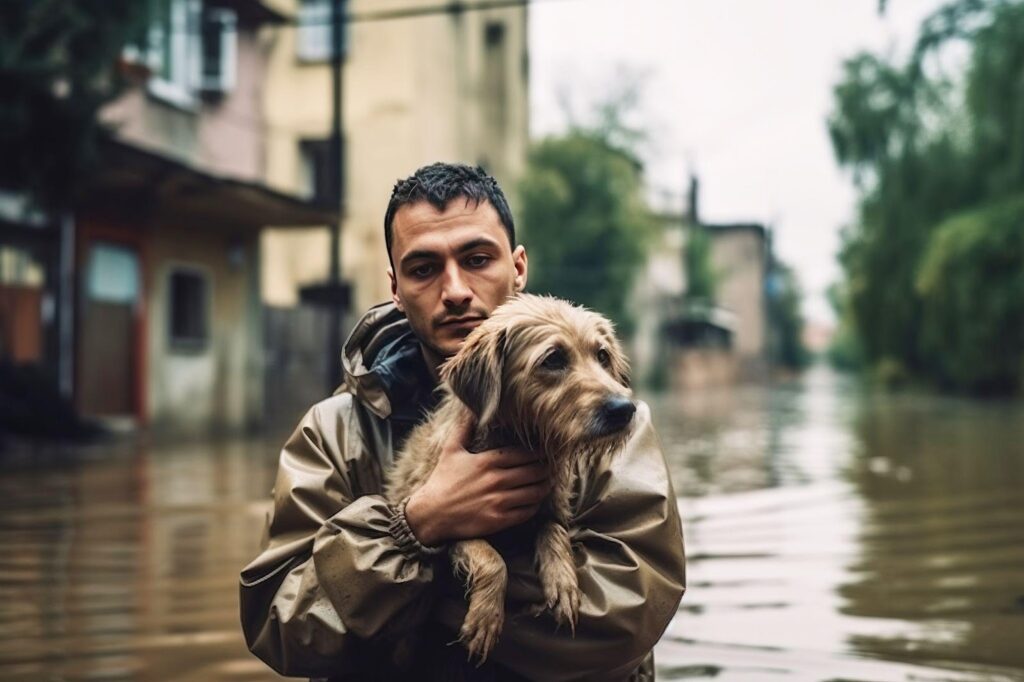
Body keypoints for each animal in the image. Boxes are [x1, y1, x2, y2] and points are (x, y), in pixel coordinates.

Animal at [385, 292, 634, 659]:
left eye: (601, 355)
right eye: (553, 359)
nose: (624, 409)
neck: (518, 441)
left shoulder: (553, 505)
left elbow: (553, 530)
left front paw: (563, 581)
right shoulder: (446, 518)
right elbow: (493, 559)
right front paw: (486, 617)